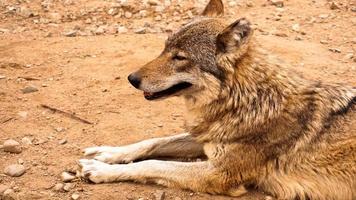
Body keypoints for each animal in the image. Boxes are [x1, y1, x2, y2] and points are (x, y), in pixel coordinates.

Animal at [78, 0, 356, 198]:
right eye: (164, 49)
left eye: (180, 57)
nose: (132, 78)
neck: (247, 100)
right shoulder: (206, 137)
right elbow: (152, 142)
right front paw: (107, 153)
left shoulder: (219, 174)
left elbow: (152, 164)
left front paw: (100, 170)